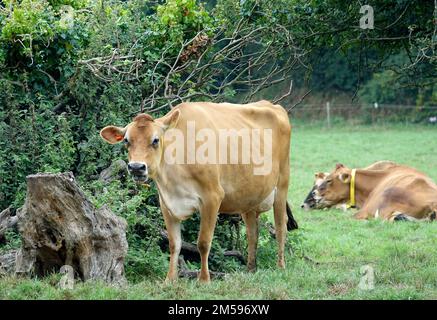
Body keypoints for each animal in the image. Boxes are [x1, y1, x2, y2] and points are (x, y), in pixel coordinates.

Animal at [99, 100, 296, 282]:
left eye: (155, 140)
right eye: (126, 140)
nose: (136, 167)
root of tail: (271, 105)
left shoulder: (212, 197)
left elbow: (203, 242)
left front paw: (204, 279)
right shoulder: (167, 203)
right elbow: (174, 244)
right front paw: (170, 280)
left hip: (282, 184)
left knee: (280, 227)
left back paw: (280, 266)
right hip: (249, 198)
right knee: (252, 233)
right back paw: (250, 269)